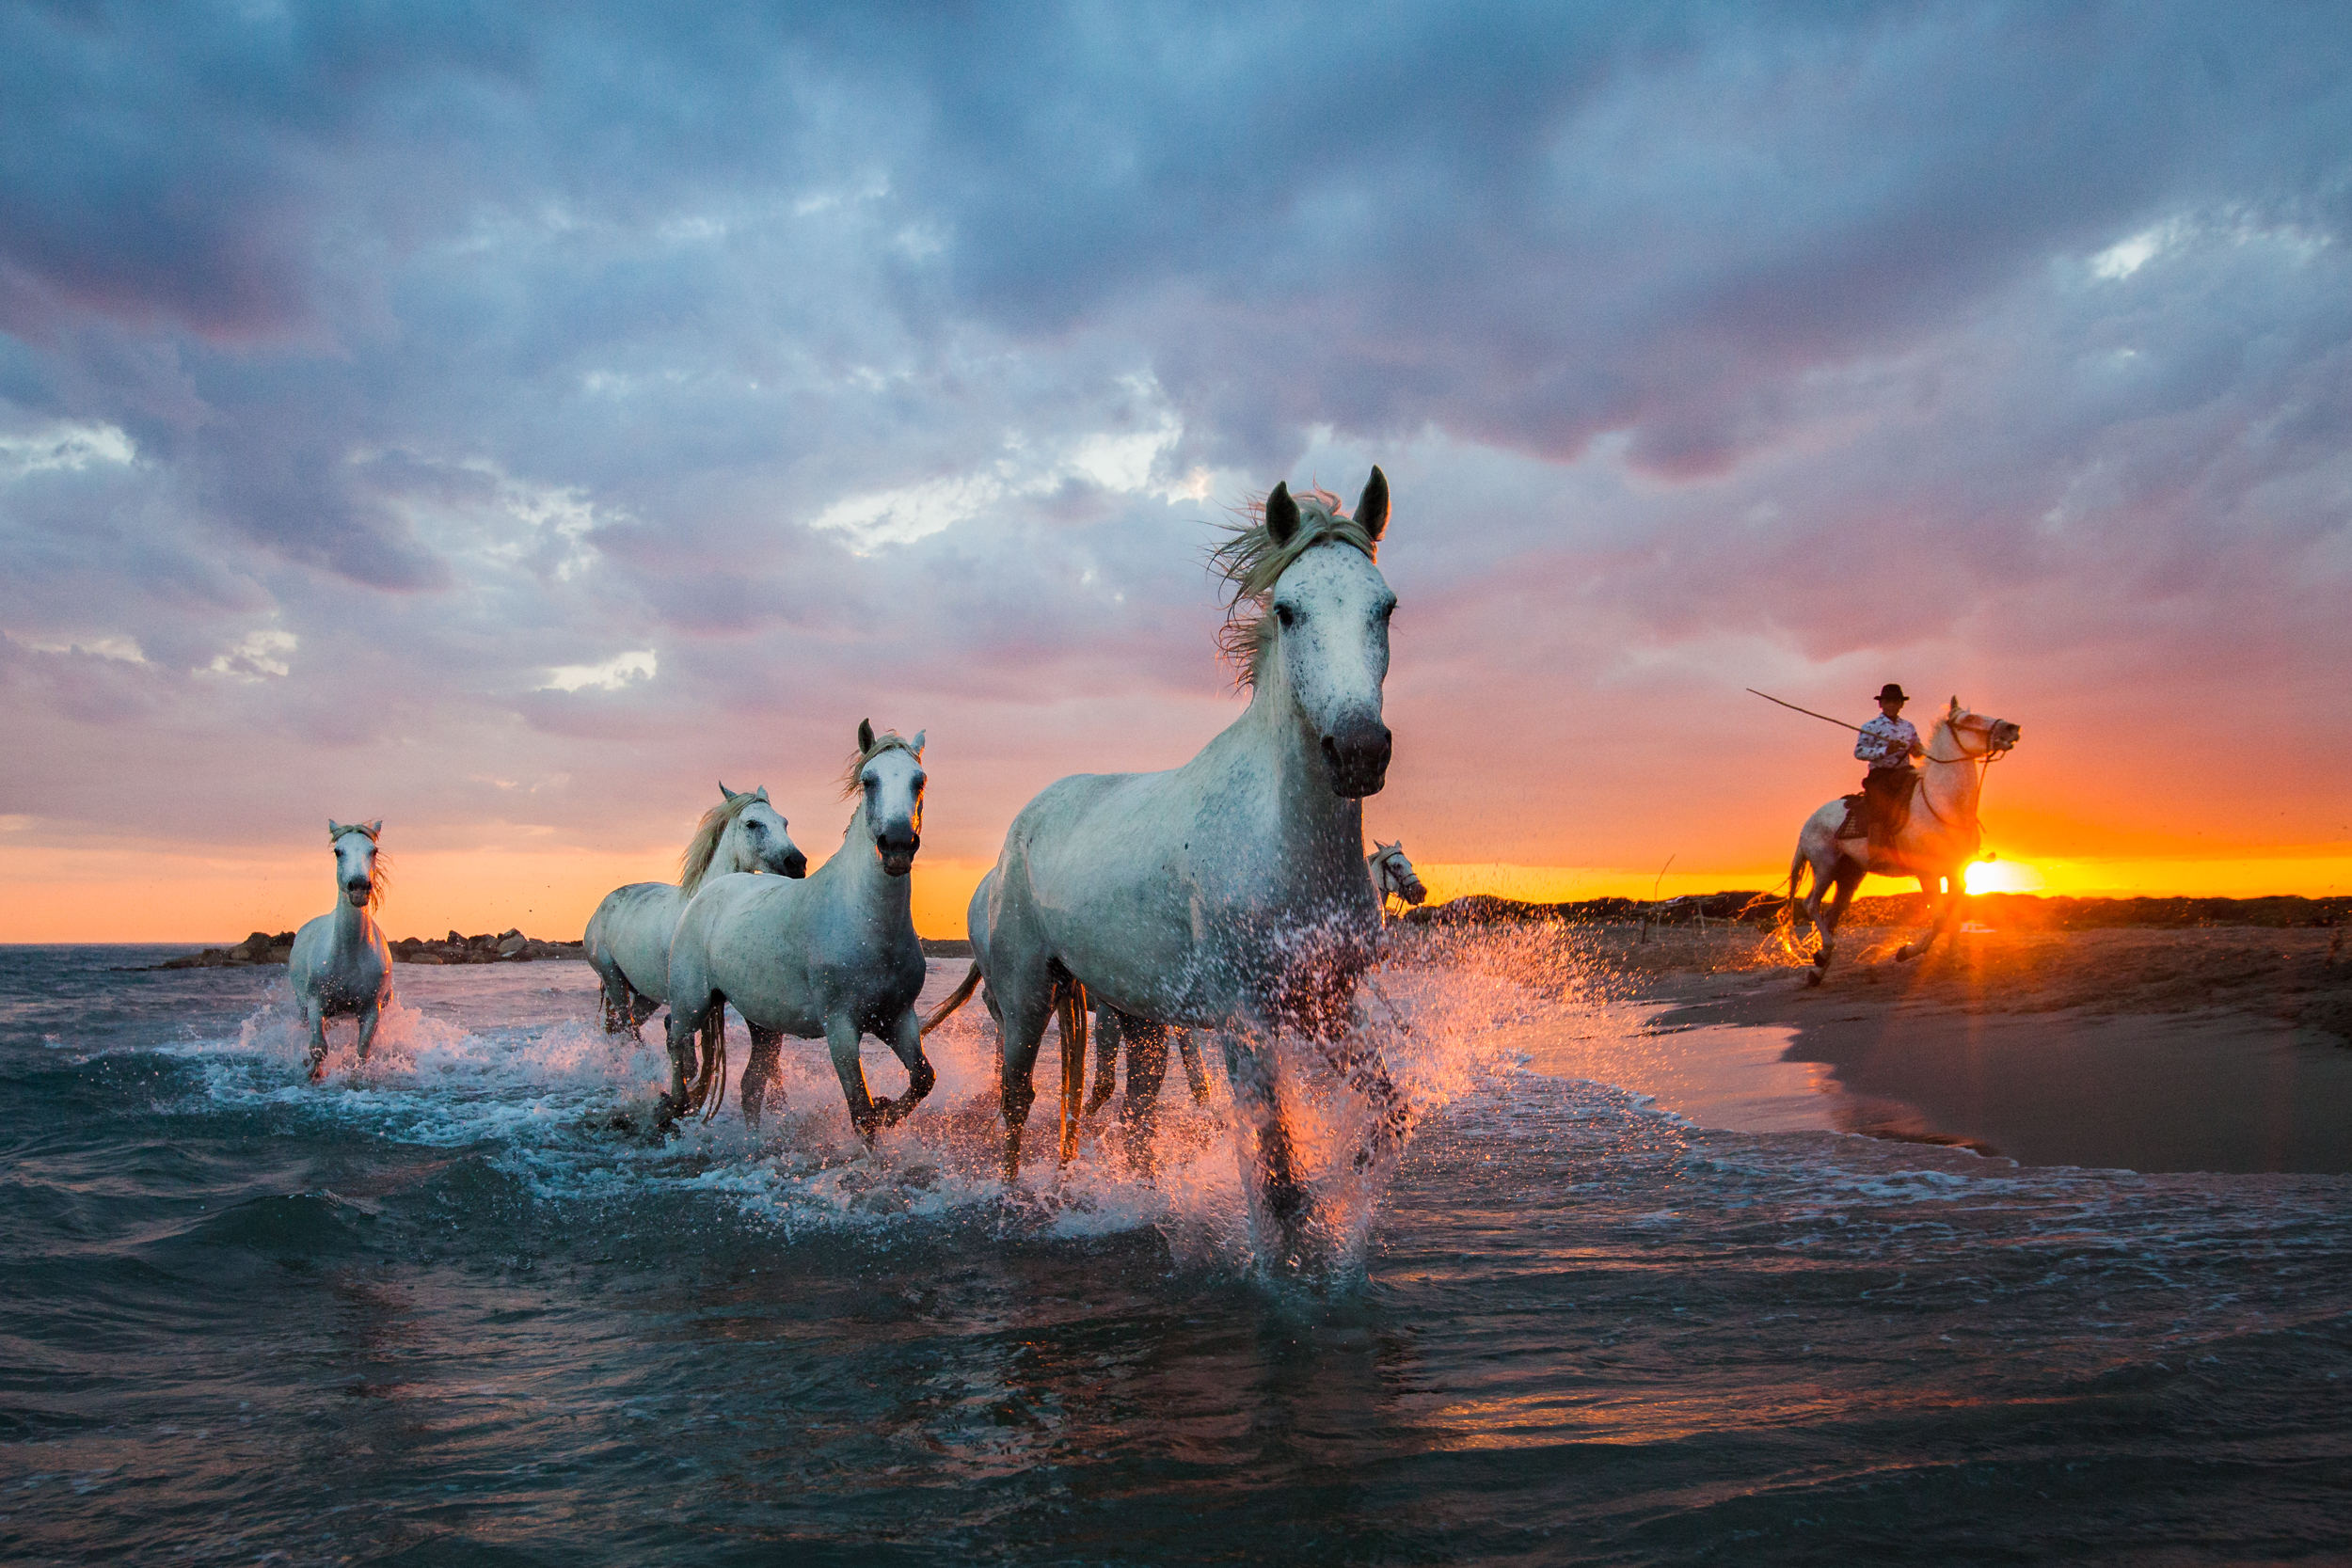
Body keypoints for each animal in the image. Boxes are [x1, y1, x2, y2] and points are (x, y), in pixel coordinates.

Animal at [290, 822, 395, 1081]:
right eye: (338, 851)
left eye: (373, 850)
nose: (358, 887)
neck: (349, 954)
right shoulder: (316, 1003)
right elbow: (319, 1047)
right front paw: (314, 1074)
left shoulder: (371, 1010)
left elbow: (362, 1051)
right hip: (302, 1006)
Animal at [585, 784, 809, 1043]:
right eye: (751, 823)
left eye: (784, 822)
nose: (797, 863)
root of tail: (598, 911)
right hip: (614, 981)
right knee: (627, 1028)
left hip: (645, 995)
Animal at [663, 723, 936, 1142]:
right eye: (868, 780)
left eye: (919, 780)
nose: (897, 846)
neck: (865, 923)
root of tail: (711, 890)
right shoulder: (841, 1029)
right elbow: (861, 1113)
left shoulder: (897, 1019)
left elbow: (922, 1079)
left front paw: (889, 1109)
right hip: (690, 1003)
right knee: (677, 1049)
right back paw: (673, 1112)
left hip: (763, 1023)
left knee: (750, 1086)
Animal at [931, 465, 1411, 1250]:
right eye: (1287, 610)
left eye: (1387, 607)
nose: (1358, 750)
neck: (1284, 845)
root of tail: (1020, 829)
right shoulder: (1247, 1028)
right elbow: (1278, 1189)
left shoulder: (1331, 1007)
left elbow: (1388, 1114)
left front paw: (1350, 1183)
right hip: (1028, 995)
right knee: (1019, 1099)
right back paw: (1013, 1200)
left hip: (1137, 1015)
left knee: (1135, 1114)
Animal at [1788, 700, 2013, 982]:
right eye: (1970, 719)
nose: (2012, 728)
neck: (1944, 805)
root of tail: (1808, 823)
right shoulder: (1927, 874)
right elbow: (1939, 917)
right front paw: (1906, 951)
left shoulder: (1957, 872)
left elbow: (1954, 916)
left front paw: (1957, 958)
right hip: (1825, 867)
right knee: (1811, 904)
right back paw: (1822, 956)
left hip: (1850, 874)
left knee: (1832, 912)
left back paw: (1819, 966)